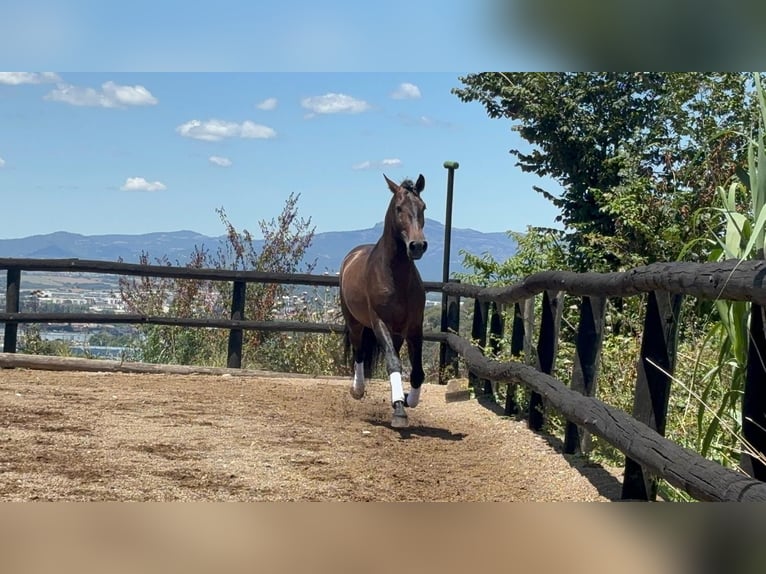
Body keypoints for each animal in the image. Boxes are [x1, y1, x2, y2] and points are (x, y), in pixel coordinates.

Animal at [340, 173, 428, 430]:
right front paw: (399, 411)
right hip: (355, 323)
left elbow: (417, 372)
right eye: (399, 208)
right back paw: (358, 390)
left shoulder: (414, 326)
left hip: (397, 333)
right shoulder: (379, 323)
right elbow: (393, 363)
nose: (417, 246)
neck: (395, 276)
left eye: (423, 207)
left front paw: (406, 400)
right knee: (359, 351)